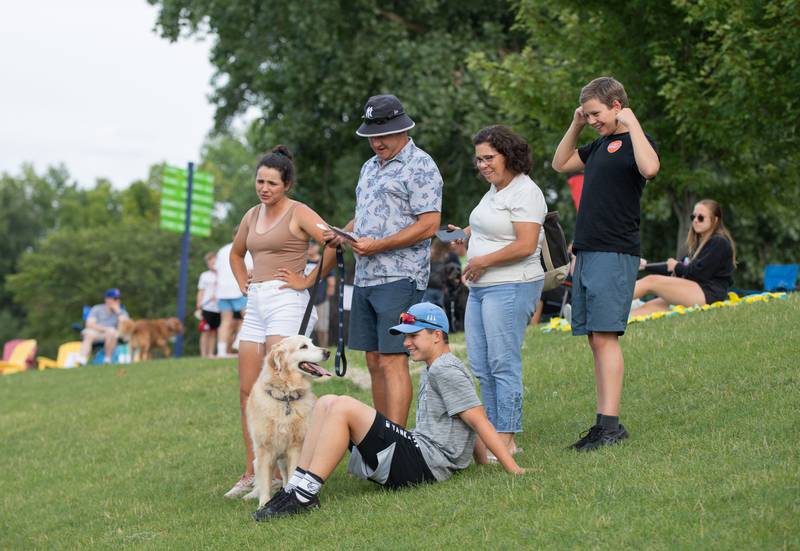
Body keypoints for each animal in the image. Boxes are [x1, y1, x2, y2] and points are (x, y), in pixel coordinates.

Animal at [245, 334, 330, 506]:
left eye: (312, 343)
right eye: (303, 346)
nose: (328, 352)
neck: (286, 398)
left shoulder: (296, 447)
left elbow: (292, 476)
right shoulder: (265, 450)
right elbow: (265, 482)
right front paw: (263, 504)